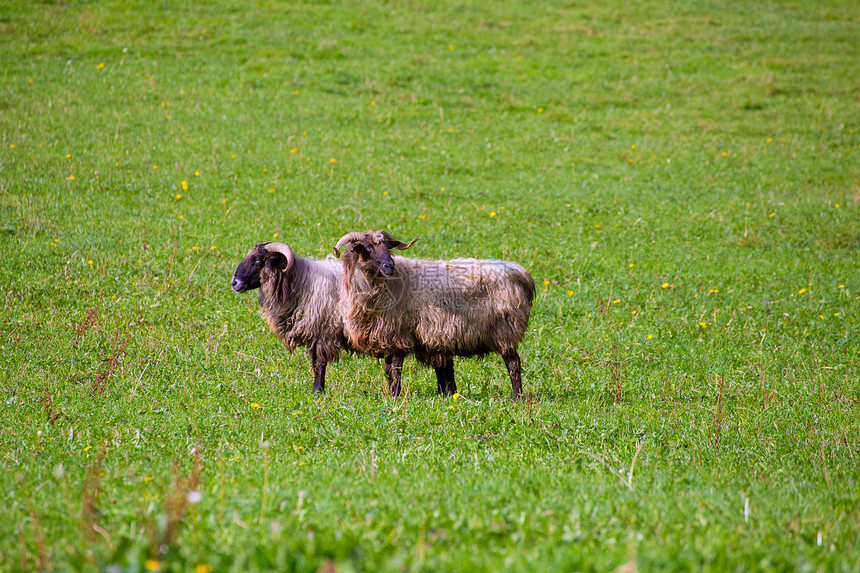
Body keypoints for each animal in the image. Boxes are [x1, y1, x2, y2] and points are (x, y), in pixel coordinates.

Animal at [232, 241, 350, 394]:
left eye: (257, 261)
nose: (234, 283)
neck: (302, 283)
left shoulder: (324, 332)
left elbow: (320, 364)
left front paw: (318, 392)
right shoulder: (314, 334)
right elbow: (315, 363)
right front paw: (316, 392)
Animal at [332, 230, 536, 400]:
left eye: (388, 247)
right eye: (367, 248)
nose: (389, 266)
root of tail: (519, 273)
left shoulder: (400, 335)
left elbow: (396, 369)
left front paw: (395, 397)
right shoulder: (388, 337)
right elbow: (388, 370)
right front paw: (390, 395)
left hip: (505, 329)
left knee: (513, 363)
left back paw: (518, 397)